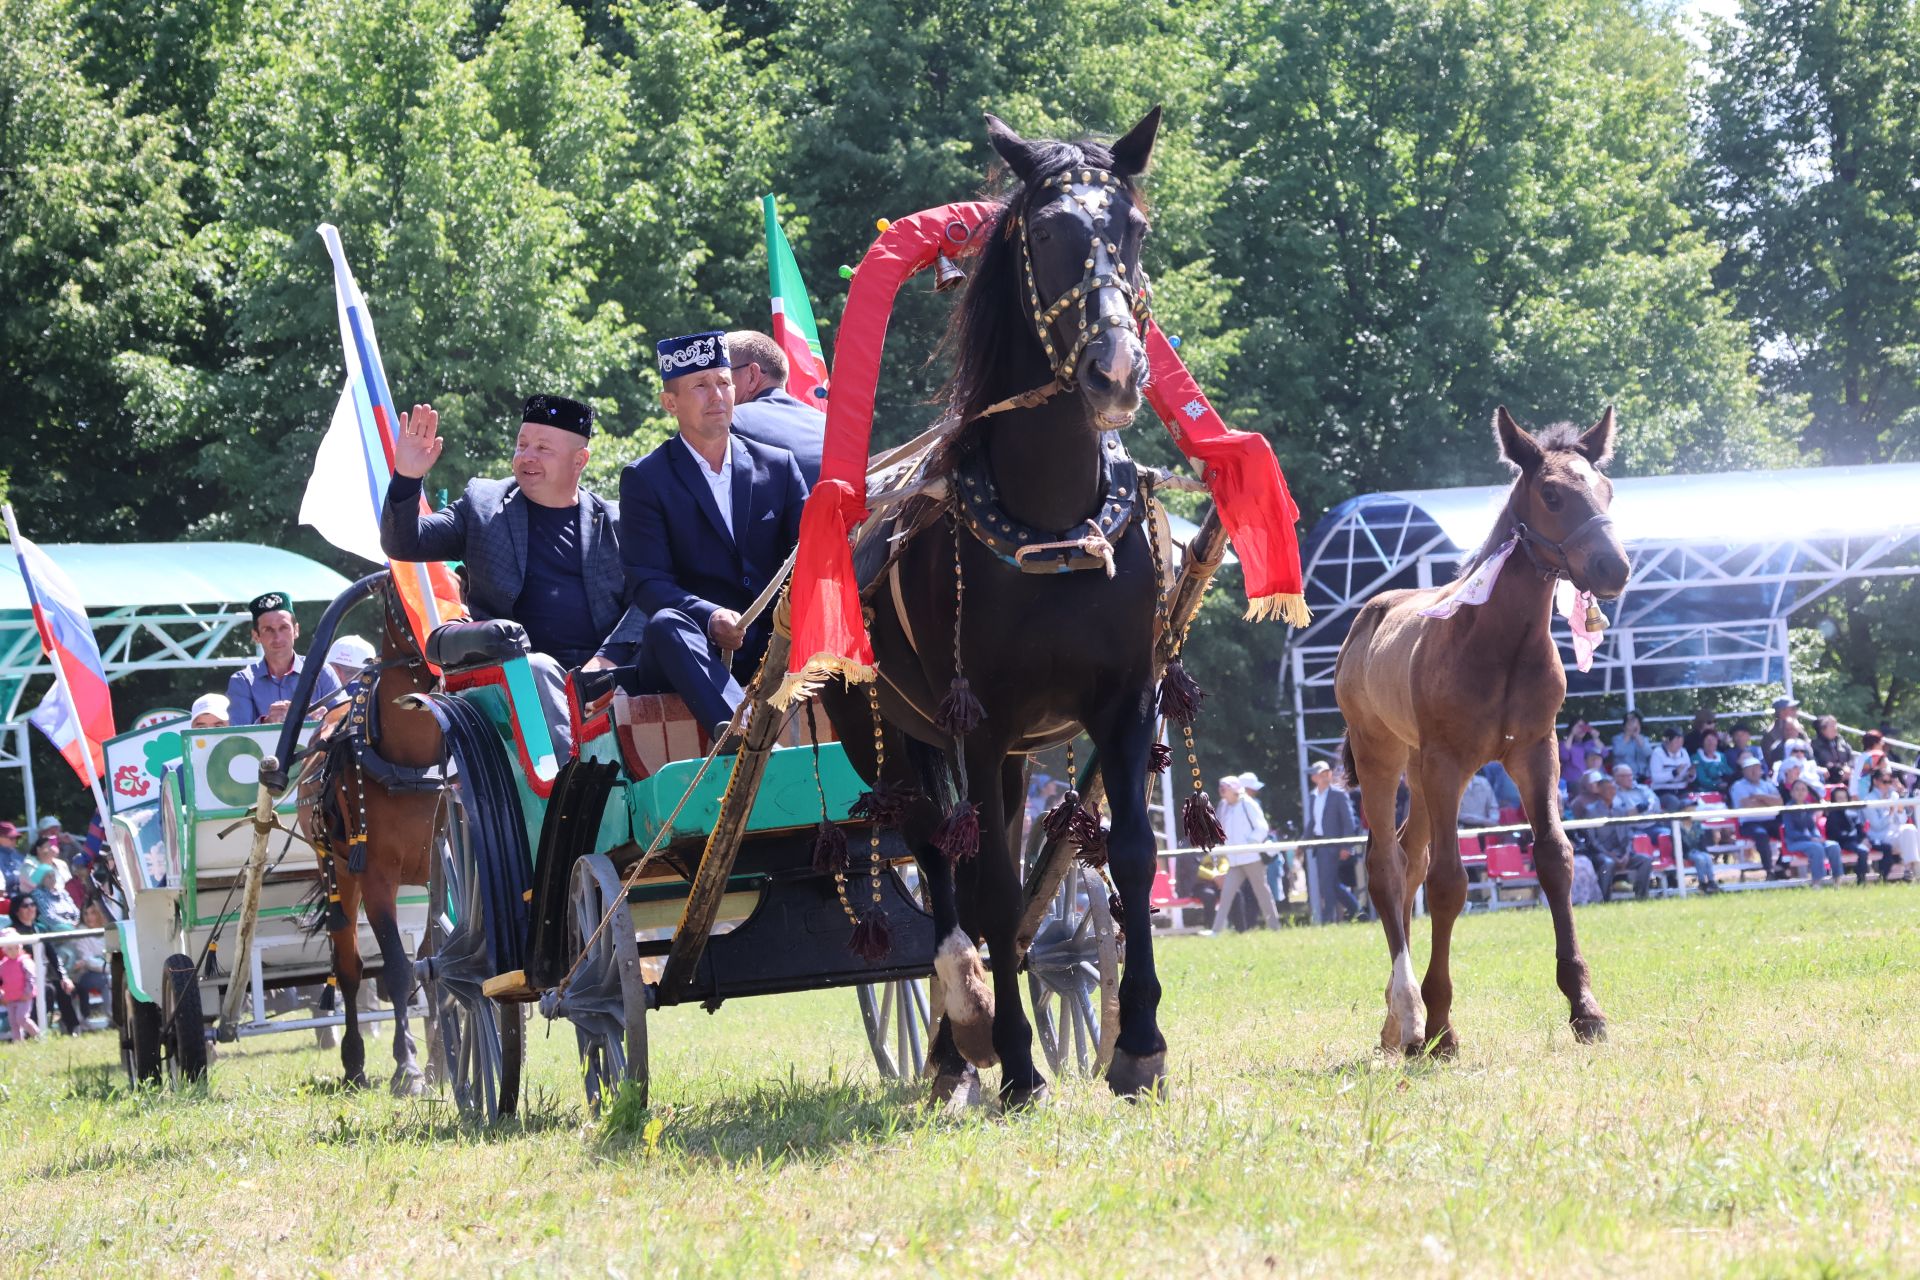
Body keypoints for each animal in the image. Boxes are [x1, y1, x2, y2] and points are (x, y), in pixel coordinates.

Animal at [293, 579, 437, 1090]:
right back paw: (354, 1059)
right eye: (400, 593)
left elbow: (433, 958)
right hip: (337, 868)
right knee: (349, 966)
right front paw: (407, 1065)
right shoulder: (375, 875)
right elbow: (396, 968)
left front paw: (439, 1061)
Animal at [825, 112, 1167, 1113]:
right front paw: (1016, 1062)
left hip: (1011, 757)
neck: (1049, 523)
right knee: (939, 863)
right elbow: (985, 888)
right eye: (1046, 236)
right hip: (888, 737)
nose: (1115, 371)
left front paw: (1138, 1044)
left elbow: (1130, 855)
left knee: (991, 859)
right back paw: (959, 1037)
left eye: (1133, 227)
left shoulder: (1124, 700)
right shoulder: (972, 726)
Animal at [1336, 412, 1635, 1059]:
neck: (1501, 643)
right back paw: (1409, 1014)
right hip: (1385, 756)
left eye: (1607, 491)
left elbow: (1555, 858)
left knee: (1409, 857)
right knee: (1387, 867)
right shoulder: (1448, 762)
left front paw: (1586, 1009)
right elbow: (1451, 882)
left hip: (1420, 772)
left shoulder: (1536, 752)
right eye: (1552, 494)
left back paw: (1394, 1021)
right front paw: (1442, 1025)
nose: (1615, 568)